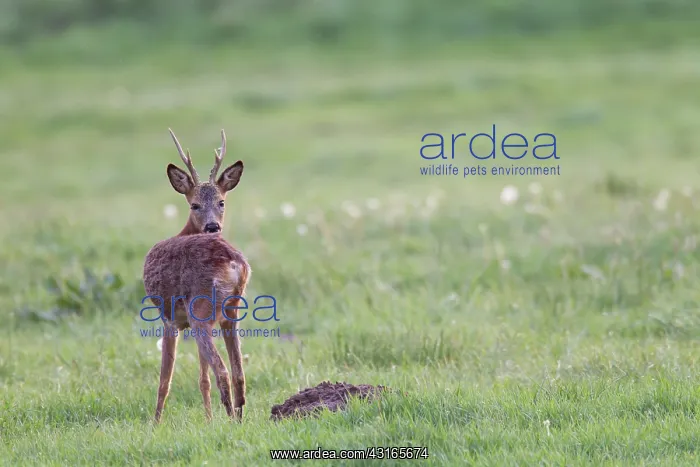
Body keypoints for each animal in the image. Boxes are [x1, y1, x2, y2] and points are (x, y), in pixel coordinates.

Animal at [143, 128, 250, 423]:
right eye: (194, 205)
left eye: (222, 202)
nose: (213, 226)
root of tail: (233, 261)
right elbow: (203, 379)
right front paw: (208, 420)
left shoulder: (169, 319)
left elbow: (164, 381)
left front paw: (155, 425)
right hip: (230, 312)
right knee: (238, 372)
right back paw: (238, 419)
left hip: (200, 311)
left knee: (222, 370)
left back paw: (230, 419)